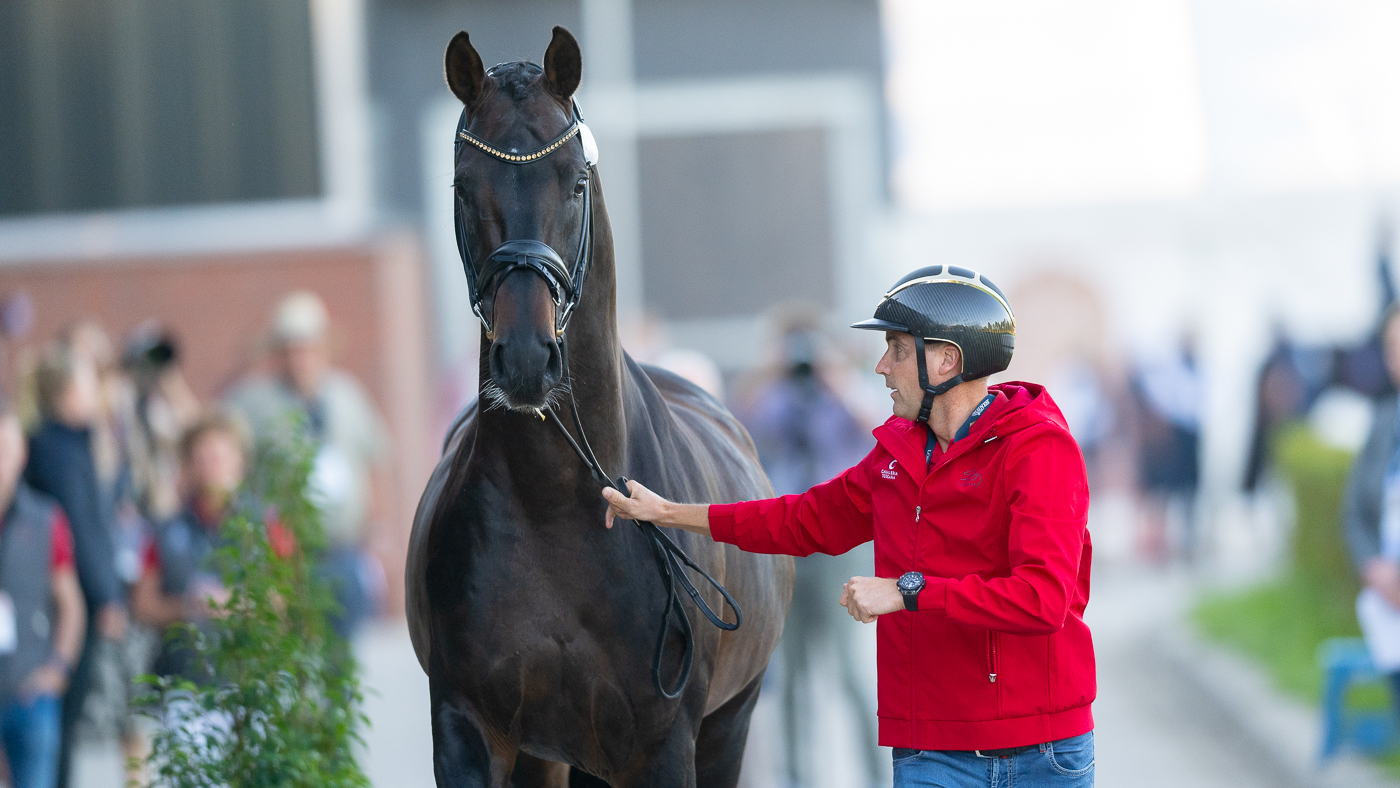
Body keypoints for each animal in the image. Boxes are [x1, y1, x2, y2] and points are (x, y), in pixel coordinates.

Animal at [408, 26, 800, 788]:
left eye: (577, 183)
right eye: (464, 186)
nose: (526, 360)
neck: (555, 504)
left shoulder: (663, 746)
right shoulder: (469, 729)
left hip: (726, 728)